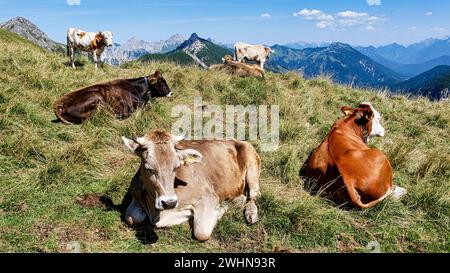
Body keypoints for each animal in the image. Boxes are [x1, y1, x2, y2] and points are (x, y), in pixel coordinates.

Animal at [121, 130, 262, 240]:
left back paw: (249, 212)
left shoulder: (209, 197)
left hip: (252, 164)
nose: (169, 202)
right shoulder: (135, 193)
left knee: (253, 194)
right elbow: (131, 218)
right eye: (148, 168)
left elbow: (201, 232)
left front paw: (224, 206)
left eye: (176, 166)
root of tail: (233, 139)